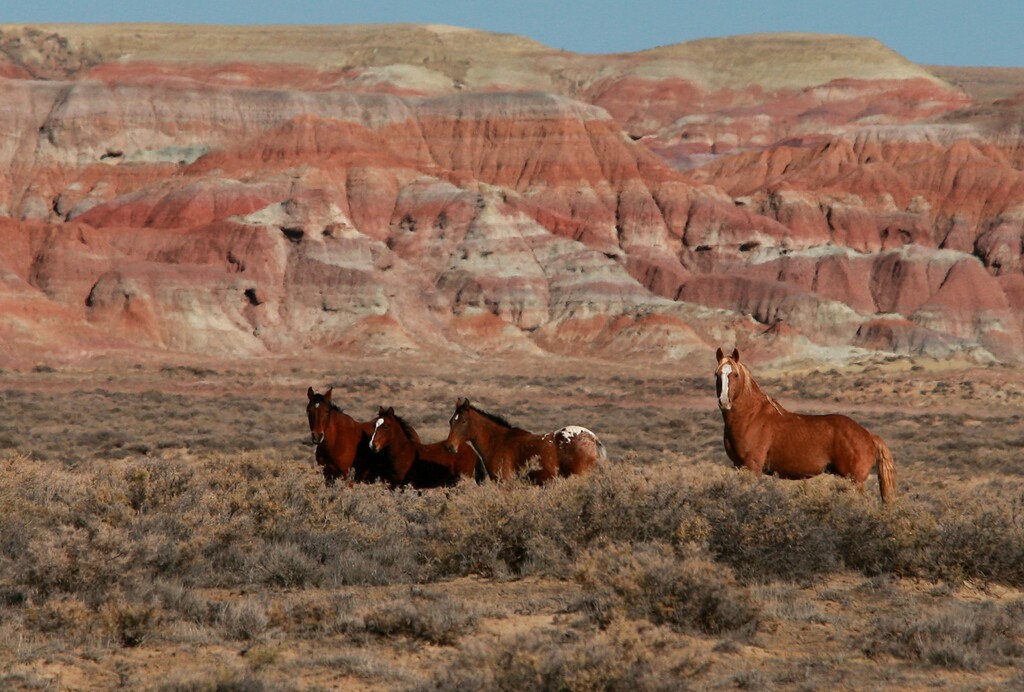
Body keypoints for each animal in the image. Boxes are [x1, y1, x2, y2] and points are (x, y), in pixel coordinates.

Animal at [714, 348, 896, 502]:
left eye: (735, 375)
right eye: (717, 374)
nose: (724, 402)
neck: (750, 416)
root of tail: (868, 435)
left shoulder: (753, 467)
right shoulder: (739, 466)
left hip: (854, 480)